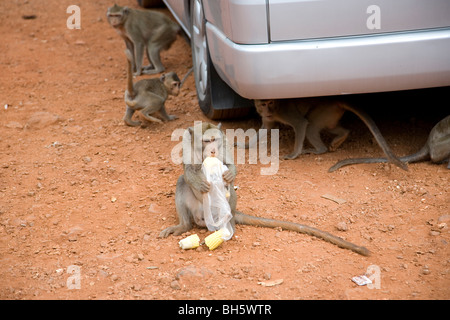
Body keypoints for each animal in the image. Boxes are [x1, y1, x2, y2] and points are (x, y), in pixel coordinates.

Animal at [160, 121, 370, 256]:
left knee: (228, 191)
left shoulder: (224, 142)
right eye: (206, 141)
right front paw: (199, 182)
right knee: (181, 181)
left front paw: (230, 173)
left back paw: (228, 226)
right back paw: (184, 226)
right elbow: (188, 171)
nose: (212, 150)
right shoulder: (187, 143)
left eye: (214, 140)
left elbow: (228, 165)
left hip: (221, 211)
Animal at [239, 98, 408, 171]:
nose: (267, 110)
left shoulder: (285, 112)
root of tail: (337, 100)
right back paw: (341, 137)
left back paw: (319, 150)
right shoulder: (269, 117)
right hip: (332, 113)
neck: (276, 108)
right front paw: (244, 145)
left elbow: (301, 124)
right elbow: (266, 128)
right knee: (330, 127)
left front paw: (293, 155)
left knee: (311, 126)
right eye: (263, 104)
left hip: (326, 110)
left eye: (270, 103)